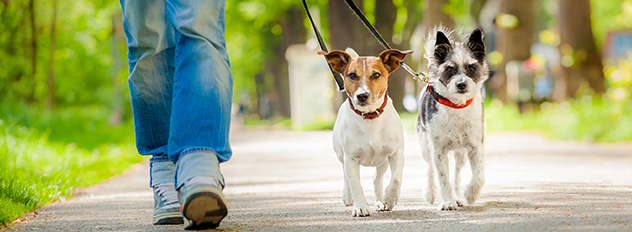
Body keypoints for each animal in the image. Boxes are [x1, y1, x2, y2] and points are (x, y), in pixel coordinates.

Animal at [318, 48, 412, 217]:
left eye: (376, 75)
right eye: (352, 75)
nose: (362, 95)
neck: (370, 117)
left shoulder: (396, 153)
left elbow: (396, 179)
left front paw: (390, 199)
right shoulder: (350, 158)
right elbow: (355, 184)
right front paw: (360, 207)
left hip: (382, 161)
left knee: (377, 179)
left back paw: (380, 202)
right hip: (341, 156)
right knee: (346, 176)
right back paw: (347, 196)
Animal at [420, 26, 488, 210]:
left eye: (471, 67)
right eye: (450, 68)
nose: (461, 84)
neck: (457, 106)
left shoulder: (475, 146)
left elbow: (479, 175)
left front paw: (470, 194)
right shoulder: (438, 150)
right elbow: (443, 178)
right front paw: (447, 202)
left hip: (460, 154)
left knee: (456, 174)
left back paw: (457, 196)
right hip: (425, 147)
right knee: (429, 169)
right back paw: (430, 193)